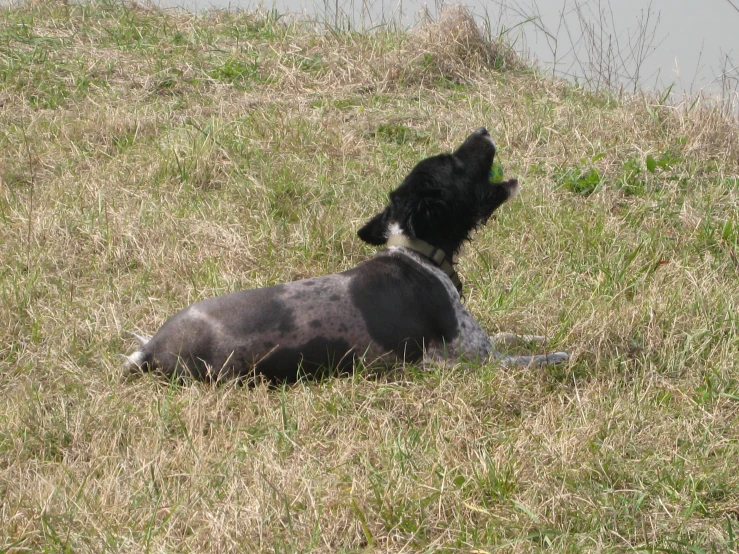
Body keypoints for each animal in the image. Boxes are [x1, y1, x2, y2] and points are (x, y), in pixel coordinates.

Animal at [125, 127, 568, 382]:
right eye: (454, 162)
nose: (483, 129)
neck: (420, 255)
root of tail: (152, 348)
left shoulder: (483, 344)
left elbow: (512, 335)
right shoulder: (468, 361)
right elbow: (534, 358)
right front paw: (560, 354)